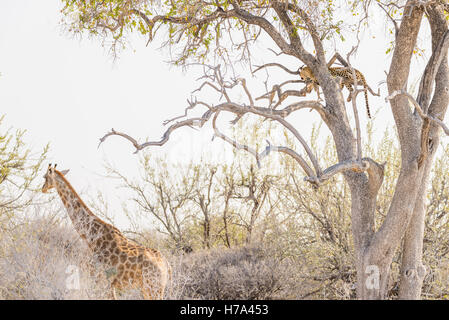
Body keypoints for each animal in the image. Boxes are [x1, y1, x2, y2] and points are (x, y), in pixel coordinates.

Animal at [41, 164, 171, 302]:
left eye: (44, 177)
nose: (42, 188)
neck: (91, 238)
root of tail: (167, 265)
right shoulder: (108, 283)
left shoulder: (101, 280)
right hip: (150, 288)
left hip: (153, 286)